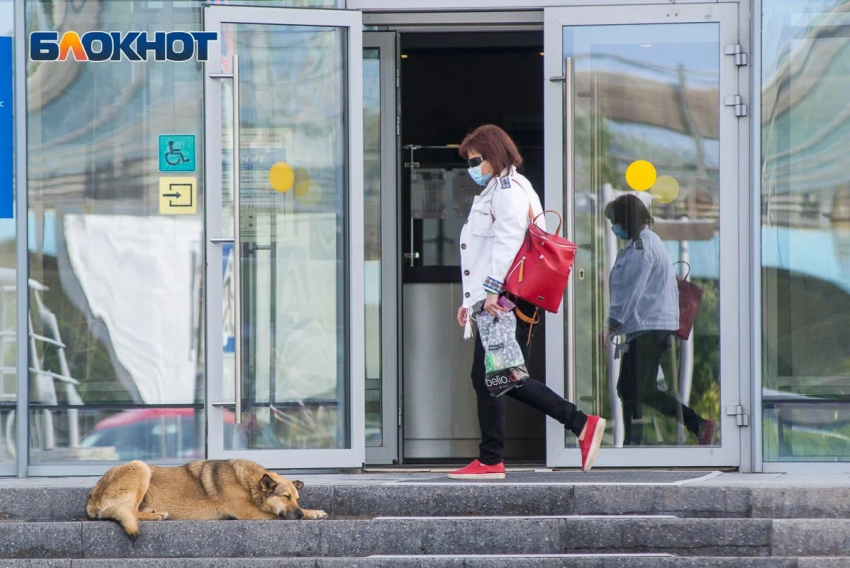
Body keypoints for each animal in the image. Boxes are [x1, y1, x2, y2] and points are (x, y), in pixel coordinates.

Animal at [85, 458, 324, 536]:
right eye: (286, 497)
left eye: (297, 498)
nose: (299, 512)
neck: (248, 483)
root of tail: (92, 498)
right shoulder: (251, 512)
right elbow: (278, 515)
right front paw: (309, 514)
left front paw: (314, 512)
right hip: (140, 467)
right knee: (129, 512)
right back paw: (157, 515)